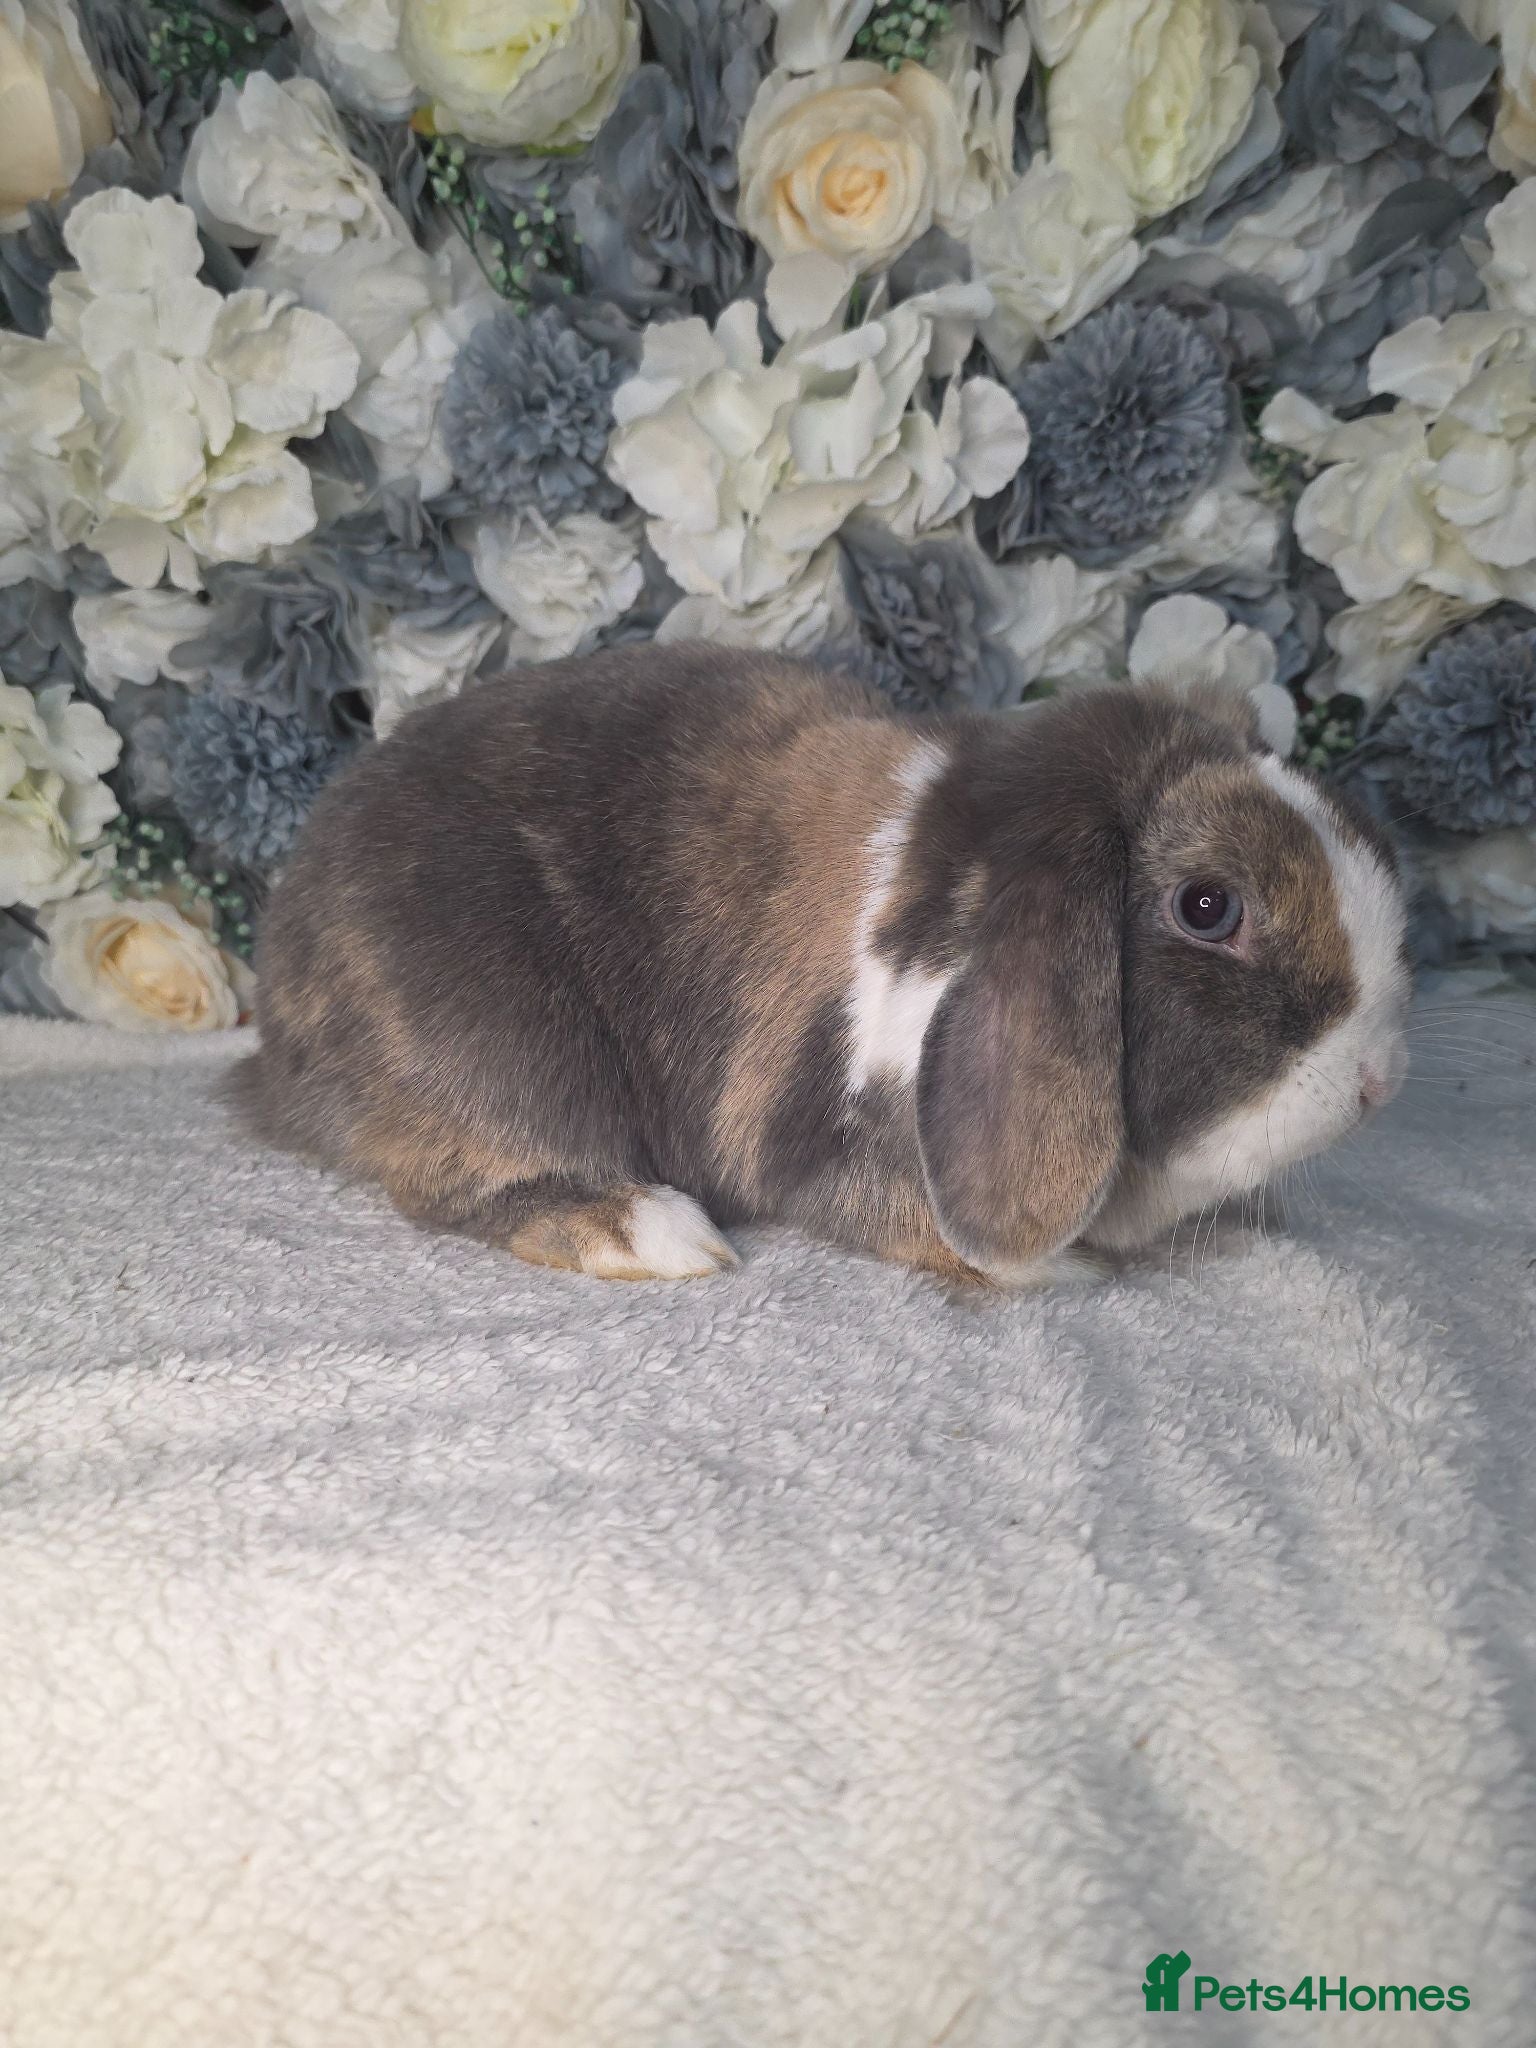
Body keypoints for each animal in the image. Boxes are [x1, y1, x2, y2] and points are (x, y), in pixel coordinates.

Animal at [231, 642, 1411, 1287]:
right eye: (1209, 907)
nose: (1379, 1081)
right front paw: (1070, 1264)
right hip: (500, 1052)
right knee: (464, 1179)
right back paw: (654, 1234)